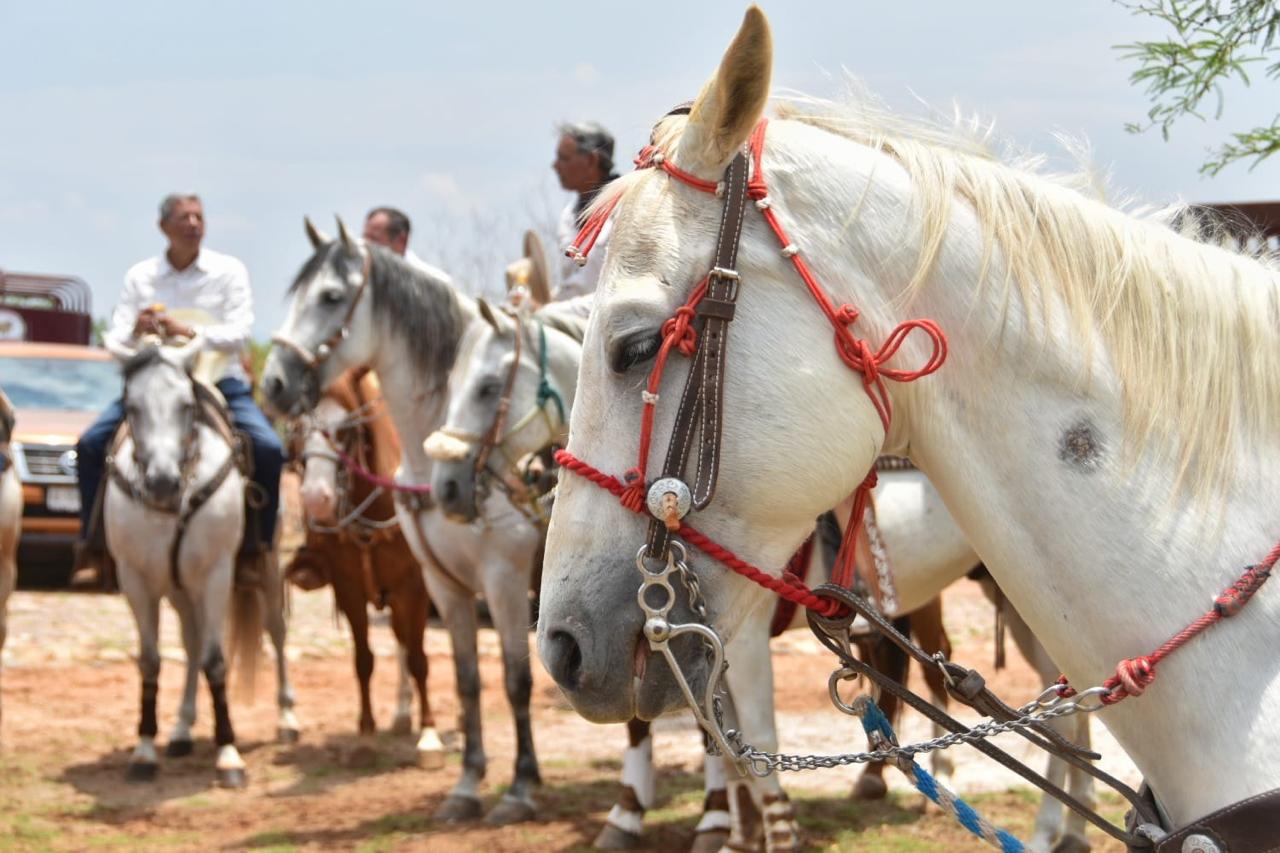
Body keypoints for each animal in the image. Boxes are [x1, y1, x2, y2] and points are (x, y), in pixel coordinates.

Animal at [102, 334, 297, 786]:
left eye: (186, 405)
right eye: (130, 406)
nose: (161, 483)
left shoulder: (215, 575)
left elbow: (216, 661)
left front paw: (229, 755)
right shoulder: (136, 580)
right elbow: (151, 661)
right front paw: (144, 752)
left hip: (267, 568)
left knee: (276, 631)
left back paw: (287, 719)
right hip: (179, 589)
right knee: (190, 643)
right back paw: (181, 730)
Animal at [286, 368, 443, 766]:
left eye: (344, 430)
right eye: (299, 426)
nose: (315, 498)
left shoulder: (414, 587)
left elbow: (419, 658)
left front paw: (430, 734)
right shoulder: (349, 589)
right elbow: (364, 661)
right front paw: (367, 737)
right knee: (400, 640)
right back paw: (401, 715)